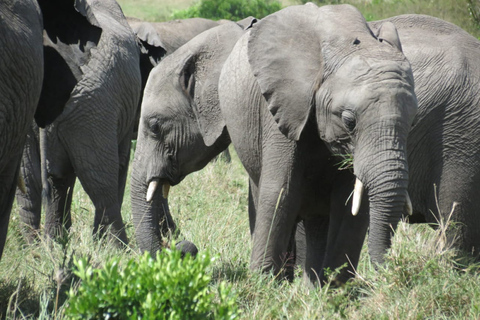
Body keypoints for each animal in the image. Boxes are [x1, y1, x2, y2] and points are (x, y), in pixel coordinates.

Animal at [15, 0, 142, 246]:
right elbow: (119, 164)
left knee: (31, 180)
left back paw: (37, 247)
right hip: (94, 107)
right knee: (101, 180)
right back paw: (119, 248)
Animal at [218, 3, 416, 284]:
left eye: (413, 122)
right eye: (349, 121)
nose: (390, 275)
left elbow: (350, 206)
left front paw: (335, 290)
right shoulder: (282, 106)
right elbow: (280, 192)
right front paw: (262, 285)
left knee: (319, 222)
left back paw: (311, 285)